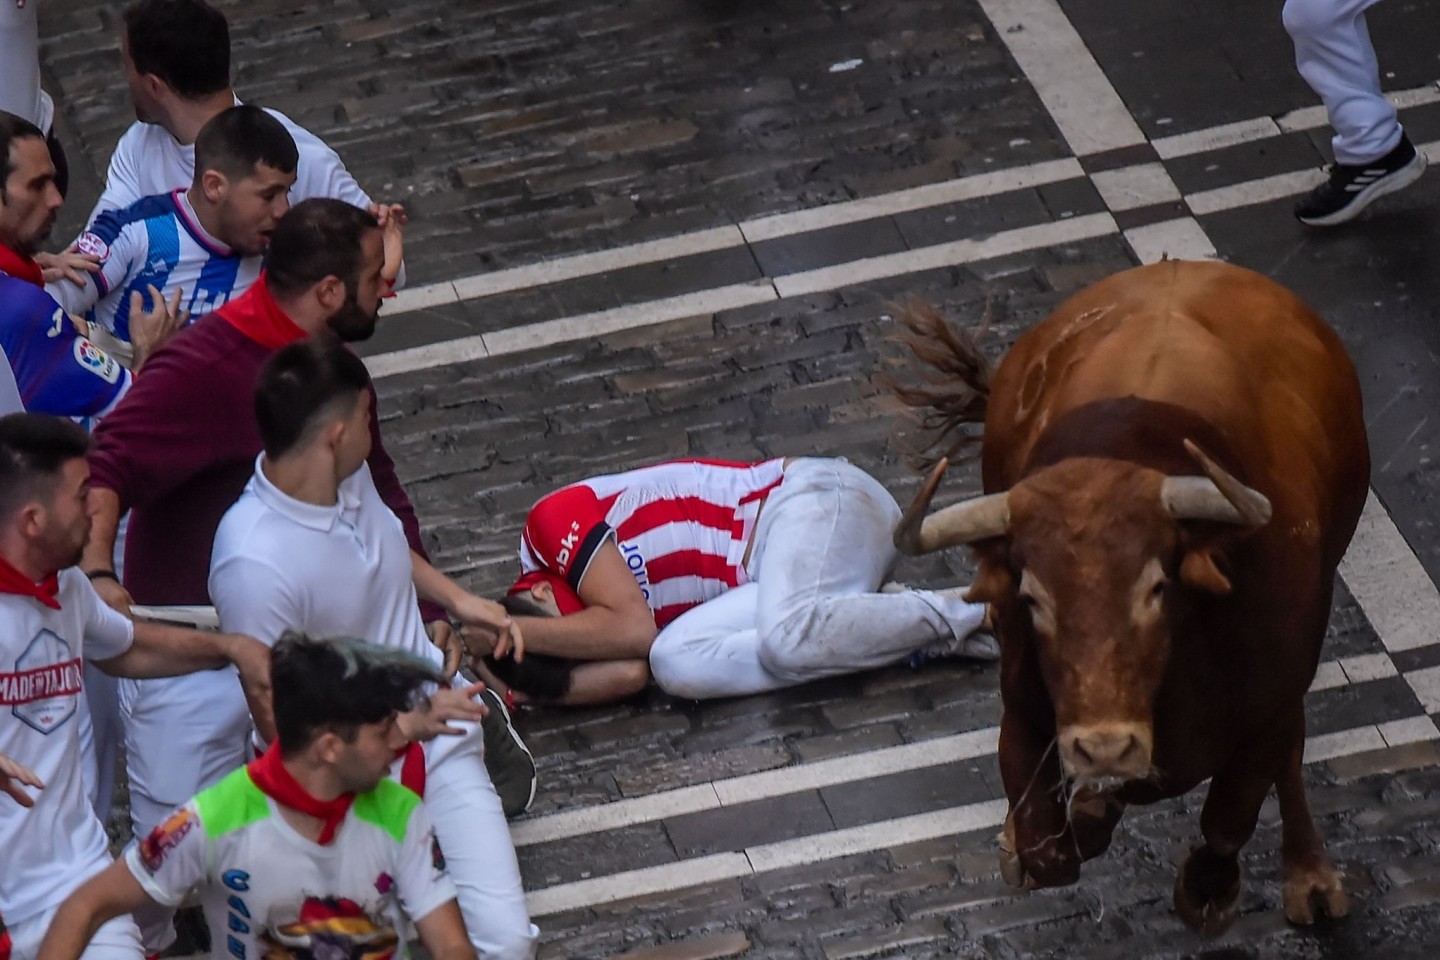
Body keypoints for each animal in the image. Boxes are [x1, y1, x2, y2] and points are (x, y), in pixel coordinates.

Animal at [892, 259, 1365, 932]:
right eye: (1032, 598)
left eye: (1157, 587)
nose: (1106, 747)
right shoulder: (1024, 712)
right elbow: (1046, 846)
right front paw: (1065, 823)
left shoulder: (1270, 703)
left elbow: (1231, 815)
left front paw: (1209, 886)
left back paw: (1310, 875)